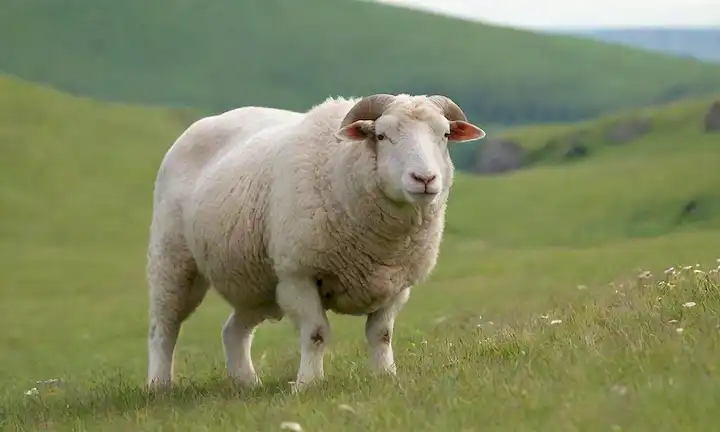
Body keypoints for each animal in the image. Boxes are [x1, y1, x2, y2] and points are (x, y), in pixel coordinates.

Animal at [146, 93, 486, 392]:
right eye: (381, 135)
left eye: (444, 134)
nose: (425, 179)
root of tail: (203, 123)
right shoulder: (299, 276)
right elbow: (316, 334)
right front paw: (308, 384)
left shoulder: (397, 284)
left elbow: (381, 334)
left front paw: (385, 376)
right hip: (173, 259)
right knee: (163, 327)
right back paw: (159, 386)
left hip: (259, 283)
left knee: (233, 330)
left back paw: (247, 383)